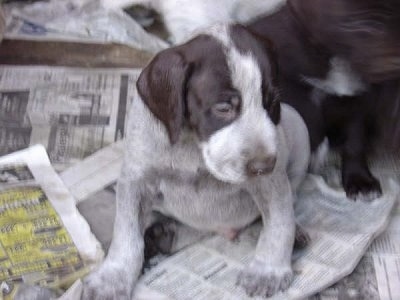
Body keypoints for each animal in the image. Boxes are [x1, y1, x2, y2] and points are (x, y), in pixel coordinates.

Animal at [81, 24, 310, 300]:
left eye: (272, 102)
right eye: (223, 108)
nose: (264, 166)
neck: (193, 147)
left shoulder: (271, 182)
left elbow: (279, 222)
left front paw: (269, 270)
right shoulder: (136, 179)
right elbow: (126, 235)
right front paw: (113, 277)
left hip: (297, 125)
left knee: (290, 198)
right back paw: (166, 235)